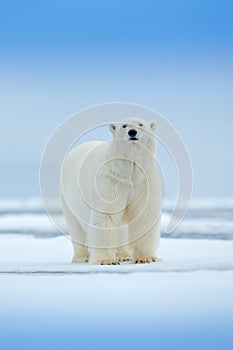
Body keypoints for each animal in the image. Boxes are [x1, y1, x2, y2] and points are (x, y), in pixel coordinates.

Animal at [60, 118, 162, 266]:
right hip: (68, 196)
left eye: (141, 124)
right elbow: (106, 215)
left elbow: (143, 216)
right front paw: (106, 260)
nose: (132, 132)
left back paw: (124, 255)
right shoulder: (110, 180)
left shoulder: (143, 182)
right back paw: (82, 257)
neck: (128, 173)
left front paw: (145, 258)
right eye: (124, 125)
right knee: (77, 228)